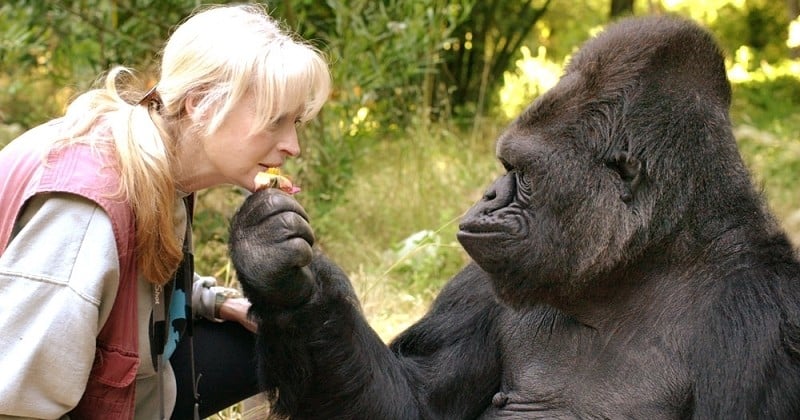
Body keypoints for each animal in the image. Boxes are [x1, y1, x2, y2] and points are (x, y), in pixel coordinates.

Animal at [228, 14, 800, 418]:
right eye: (505, 166)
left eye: (520, 172)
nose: (487, 195)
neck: (643, 262)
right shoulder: (485, 279)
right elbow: (414, 405)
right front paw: (278, 272)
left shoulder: (768, 324)